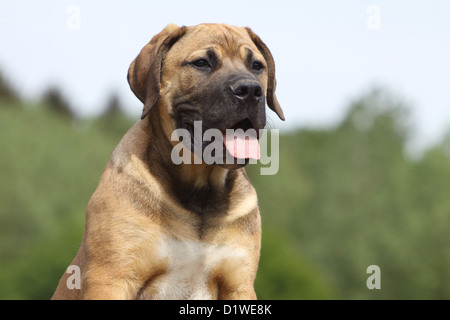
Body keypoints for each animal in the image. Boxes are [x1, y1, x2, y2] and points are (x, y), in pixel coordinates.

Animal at [52, 23, 284, 300]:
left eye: (257, 66)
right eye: (202, 63)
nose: (250, 90)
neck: (200, 194)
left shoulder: (238, 284)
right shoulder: (111, 278)